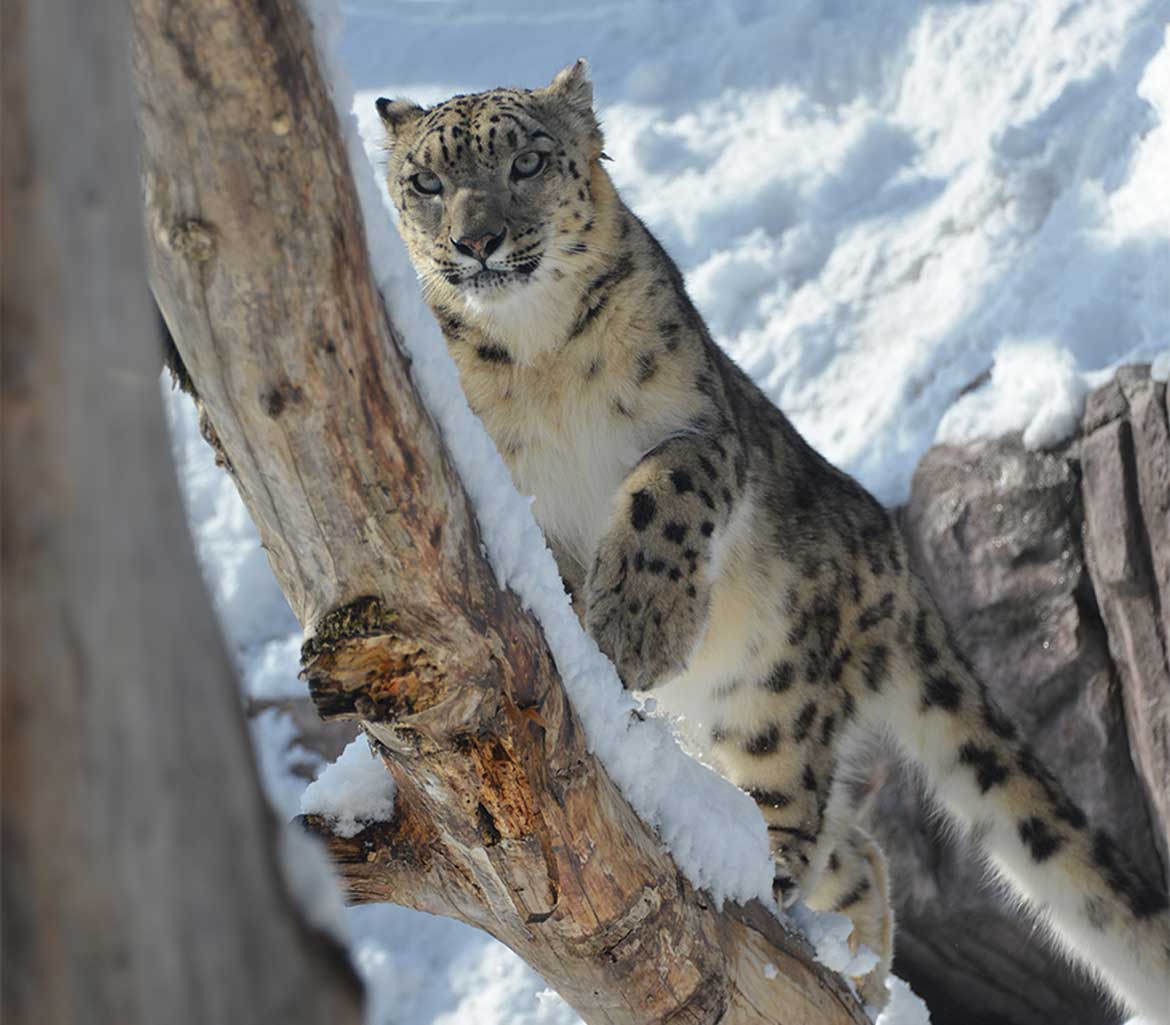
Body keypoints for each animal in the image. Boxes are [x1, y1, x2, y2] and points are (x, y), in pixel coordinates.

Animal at [379, 62, 1170, 1015]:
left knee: (813, 825)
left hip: (776, 700)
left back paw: (787, 902)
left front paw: (638, 628)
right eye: (426, 183)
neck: (538, 359)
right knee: (858, 855)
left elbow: (662, 487)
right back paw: (854, 972)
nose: (477, 241)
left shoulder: (708, 429)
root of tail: (898, 562)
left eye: (526, 161)